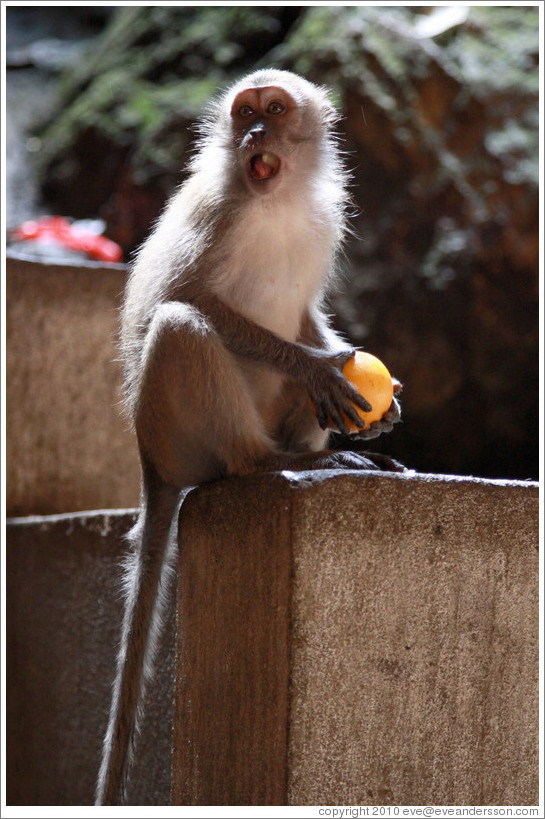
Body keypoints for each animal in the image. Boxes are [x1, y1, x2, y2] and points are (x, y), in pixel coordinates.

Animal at [95, 69, 402, 808]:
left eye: (275, 110)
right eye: (246, 113)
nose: (256, 132)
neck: (278, 199)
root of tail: (148, 459)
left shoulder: (324, 218)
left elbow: (309, 315)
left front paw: (358, 380)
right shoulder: (217, 211)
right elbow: (174, 299)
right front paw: (314, 366)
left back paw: (322, 451)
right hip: (174, 430)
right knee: (181, 324)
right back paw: (266, 462)